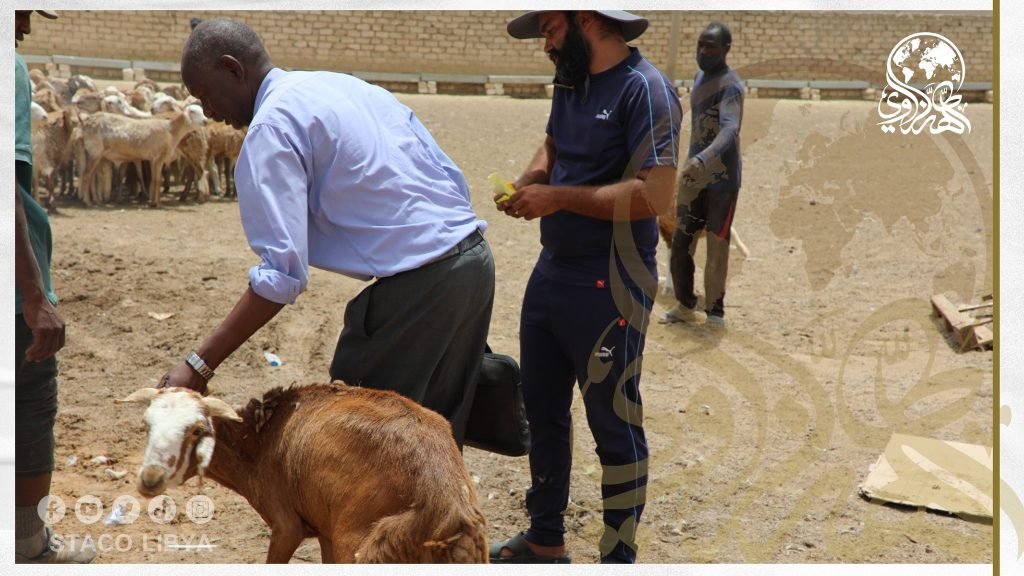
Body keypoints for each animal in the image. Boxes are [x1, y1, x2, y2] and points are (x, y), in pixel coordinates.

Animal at [117, 384, 488, 564]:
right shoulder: (324, 530)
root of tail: (448, 506)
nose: (149, 479)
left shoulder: (287, 526)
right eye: (147, 424)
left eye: (197, 430)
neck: (260, 442)